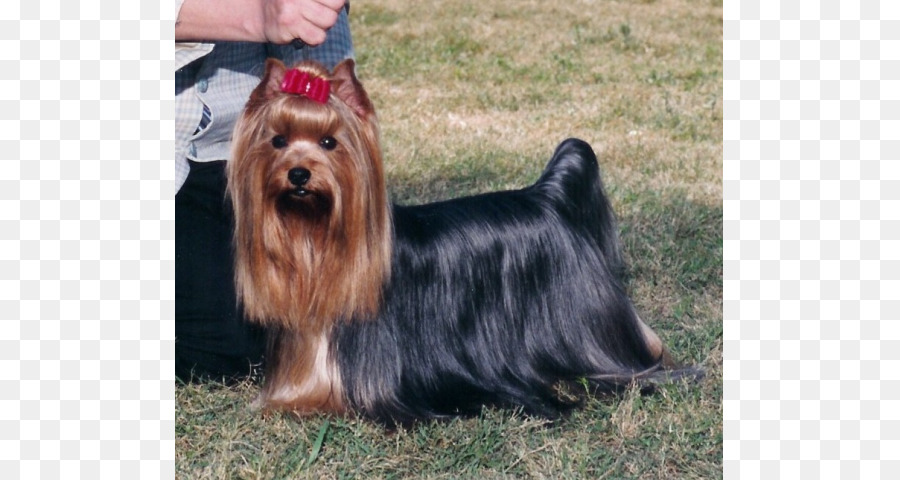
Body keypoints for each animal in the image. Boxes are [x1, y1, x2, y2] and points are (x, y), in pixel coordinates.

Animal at [225, 59, 696, 424]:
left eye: (329, 142)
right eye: (278, 140)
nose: (298, 174)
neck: (315, 239)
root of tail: (547, 196)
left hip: (581, 316)